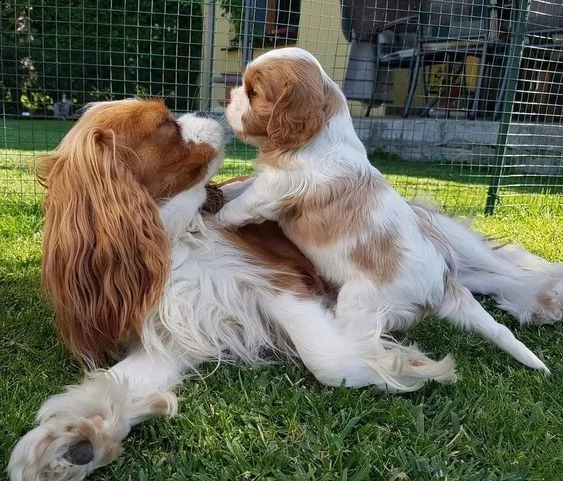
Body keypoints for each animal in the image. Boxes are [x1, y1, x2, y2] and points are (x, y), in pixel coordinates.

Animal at [217, 47, 563, 378]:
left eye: (253, 92)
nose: (228, 95)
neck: (321, 138)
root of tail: (441, 288)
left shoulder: (272, 191)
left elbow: (240, 206)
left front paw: (216, 216)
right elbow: (240, 187)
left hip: (362, 302)